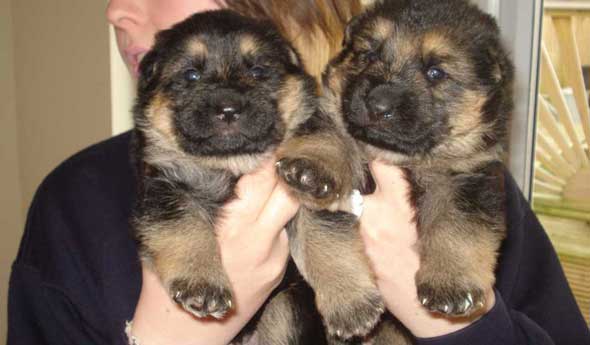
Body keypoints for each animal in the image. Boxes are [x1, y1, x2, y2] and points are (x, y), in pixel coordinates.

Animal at [130, 9, 328, 342]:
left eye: (259, 71)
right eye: (191, 75)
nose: (228, 109)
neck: (231, 165)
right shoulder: (165, 185)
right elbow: (184, 224)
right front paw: (202, 282)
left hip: (286, 305)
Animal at [278, 0, 512, 340]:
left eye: (435, 72)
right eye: (368, 55)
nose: (378, 105)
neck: (393, 155)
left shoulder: (468, 178)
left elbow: (457, 227)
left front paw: (451, 285)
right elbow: (323, 226)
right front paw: (311, 167)